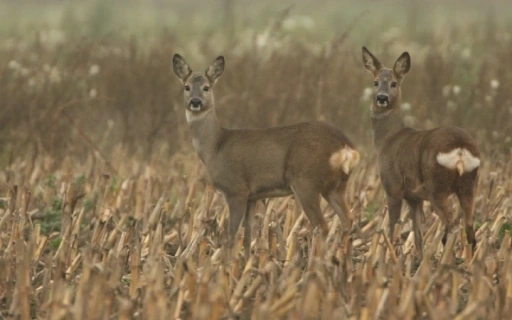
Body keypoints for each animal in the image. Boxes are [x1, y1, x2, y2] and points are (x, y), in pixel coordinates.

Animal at [173, 53, 360, 262]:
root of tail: (346, 148)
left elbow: (230, 238)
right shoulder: (252, 196)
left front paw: (226, 265)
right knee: (348, 220)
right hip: (336, 186)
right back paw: (346, 262)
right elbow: (247, 235)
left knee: (322, 227)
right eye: (186, 86)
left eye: (207, 87)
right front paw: (246, 262)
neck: (215, 146)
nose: (195, 101)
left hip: (306, 182)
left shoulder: (236, 190)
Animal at [360, 46, 480, 260]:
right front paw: (418, 258)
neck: (388, 139)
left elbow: (392, 228)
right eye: (375, 82)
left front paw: (386, 258)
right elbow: (418, 235)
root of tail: (459, 149)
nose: (381, 98)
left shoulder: (392, 187)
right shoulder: (414, 197)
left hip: (437, 187)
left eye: (394, 83)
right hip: (469, 184)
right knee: (469, 228)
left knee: (452, 226)